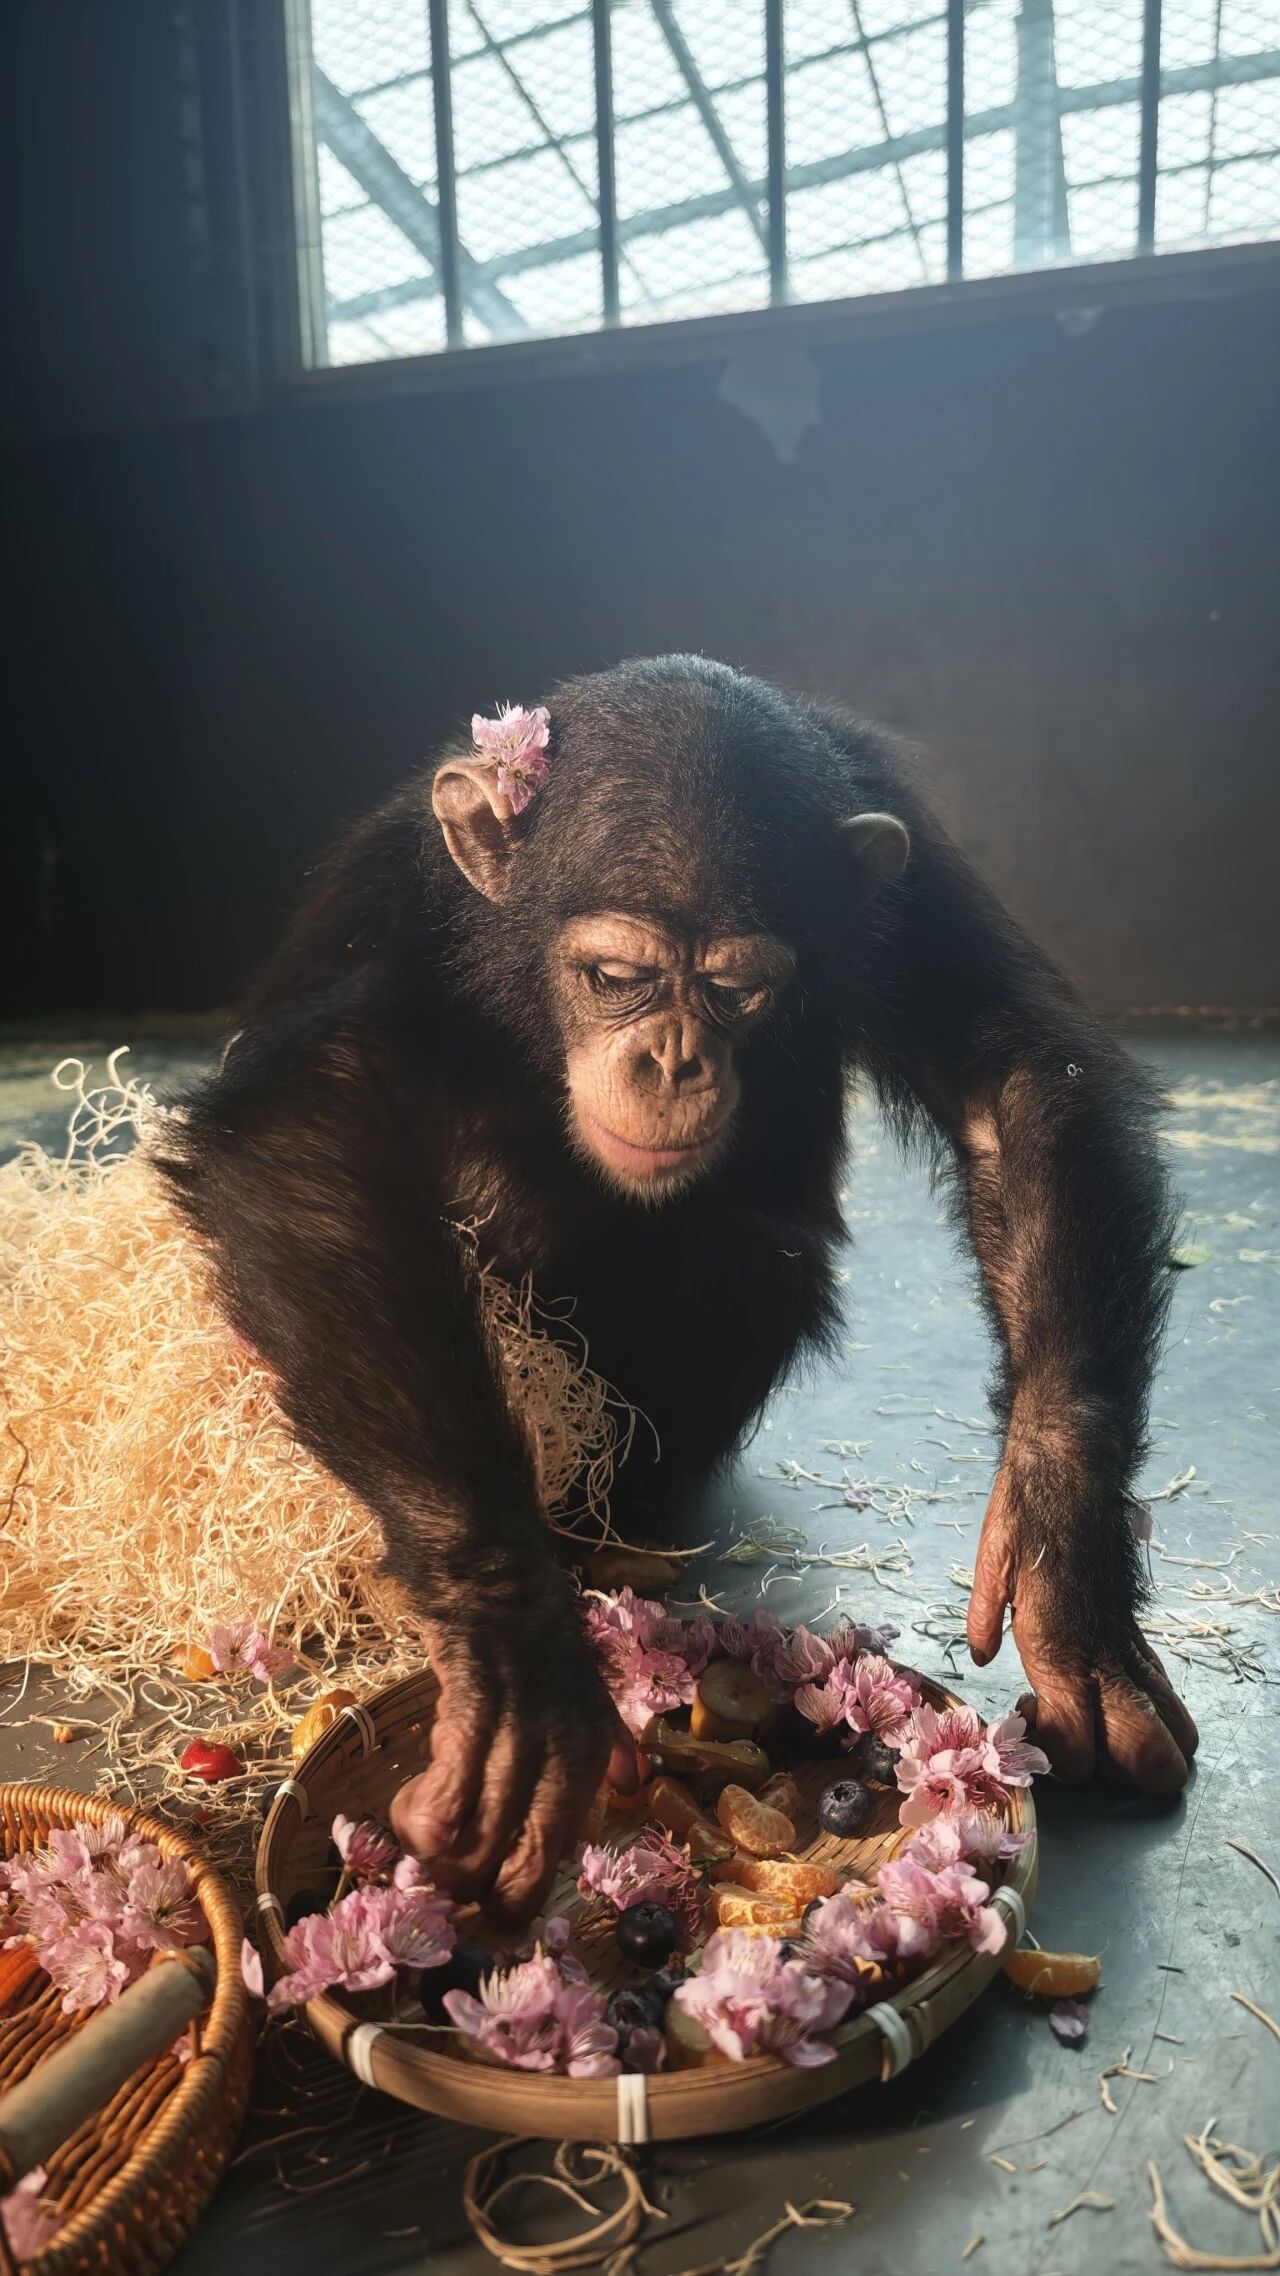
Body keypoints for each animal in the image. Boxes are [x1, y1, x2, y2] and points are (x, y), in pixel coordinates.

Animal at [162, 655, 1197, 1926]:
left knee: (744, 1253)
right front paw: (508, 1634)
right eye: (614, 977)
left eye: (739, 989)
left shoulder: (898, 879)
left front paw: (1066, 1566)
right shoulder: (395, 896)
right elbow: (306, 1122)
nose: (670, 1056)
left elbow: (1010, 1073)